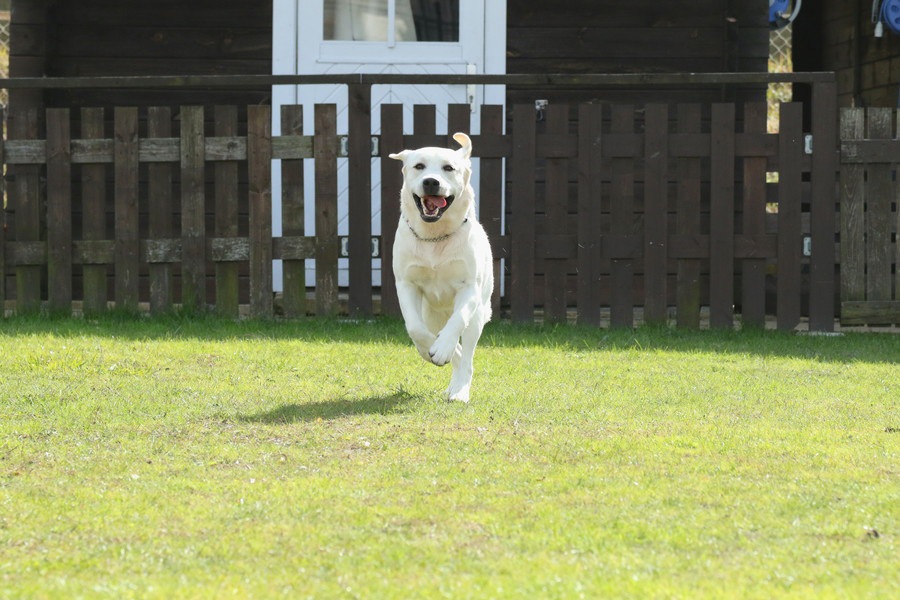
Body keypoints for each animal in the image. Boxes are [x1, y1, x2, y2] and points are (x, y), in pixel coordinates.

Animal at [390, 132, 496, 404]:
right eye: (419, 166)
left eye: (449, 168)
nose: (430, 182)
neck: (435, 239)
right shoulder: (406, 284)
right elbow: (415, 328)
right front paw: (433, 350)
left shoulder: (469, 287)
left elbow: (459, 319)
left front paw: (443, 349)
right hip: (432, 314)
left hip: (478, 315)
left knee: (467, 355)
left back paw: (459, 390)